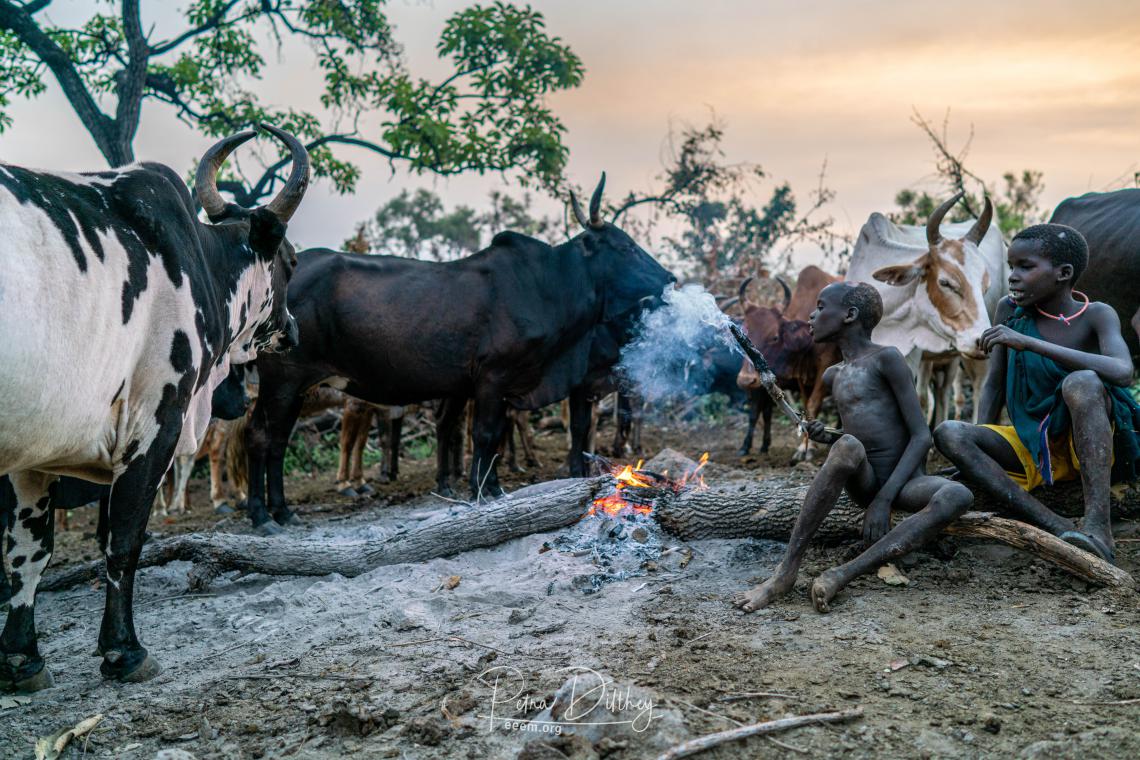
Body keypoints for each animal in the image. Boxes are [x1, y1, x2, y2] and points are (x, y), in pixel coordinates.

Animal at [0, 123, 310, 688]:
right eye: (292, 262)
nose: (293, 329)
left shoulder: (32, 454)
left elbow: (27, 551)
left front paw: (21, 659)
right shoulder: (153, 424)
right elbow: (123, 541)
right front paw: (123, 650)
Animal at [241, 175, 670, 533]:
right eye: (624, 246)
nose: (669, 277)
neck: (549, 284)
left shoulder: (504, 387)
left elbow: (496, 440)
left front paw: (494, 487)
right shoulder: (492, 379)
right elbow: (485, 436)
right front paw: (480, 490)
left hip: (296, 387)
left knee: (277, 441)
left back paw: (283, 511)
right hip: (282, 381)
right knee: (260, 436)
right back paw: (262, 516)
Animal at [734, 264, 843, 460]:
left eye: (775, 337)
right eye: (744, 331)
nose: (746, 379)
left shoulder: (825, 366)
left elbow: (814, 403)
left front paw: (806, 449)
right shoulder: (799, 379)